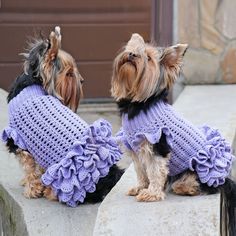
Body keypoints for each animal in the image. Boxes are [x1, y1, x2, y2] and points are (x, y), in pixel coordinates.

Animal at [1, 26, 123, 206]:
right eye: (69, 74)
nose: (82, 80)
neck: (33, 82)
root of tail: (108, 178)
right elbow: (37, 168)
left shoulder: (19, 140)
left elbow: (30, 169)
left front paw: (31, 190)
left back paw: (50, 192)